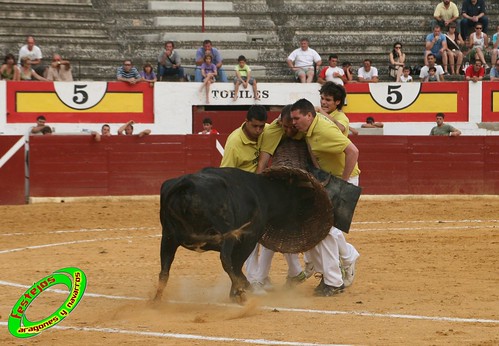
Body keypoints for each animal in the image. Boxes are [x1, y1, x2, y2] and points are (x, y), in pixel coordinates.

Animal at [154, 166, 362, 302]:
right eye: (303, 197)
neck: (264, 192)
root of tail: (187, 185)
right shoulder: (248, 238)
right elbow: (236, 264)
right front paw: (239, 289)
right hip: (225, 236)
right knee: (226, 261)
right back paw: (241, 292)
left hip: (168, 237)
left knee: (164, 268)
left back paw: (156, 299)